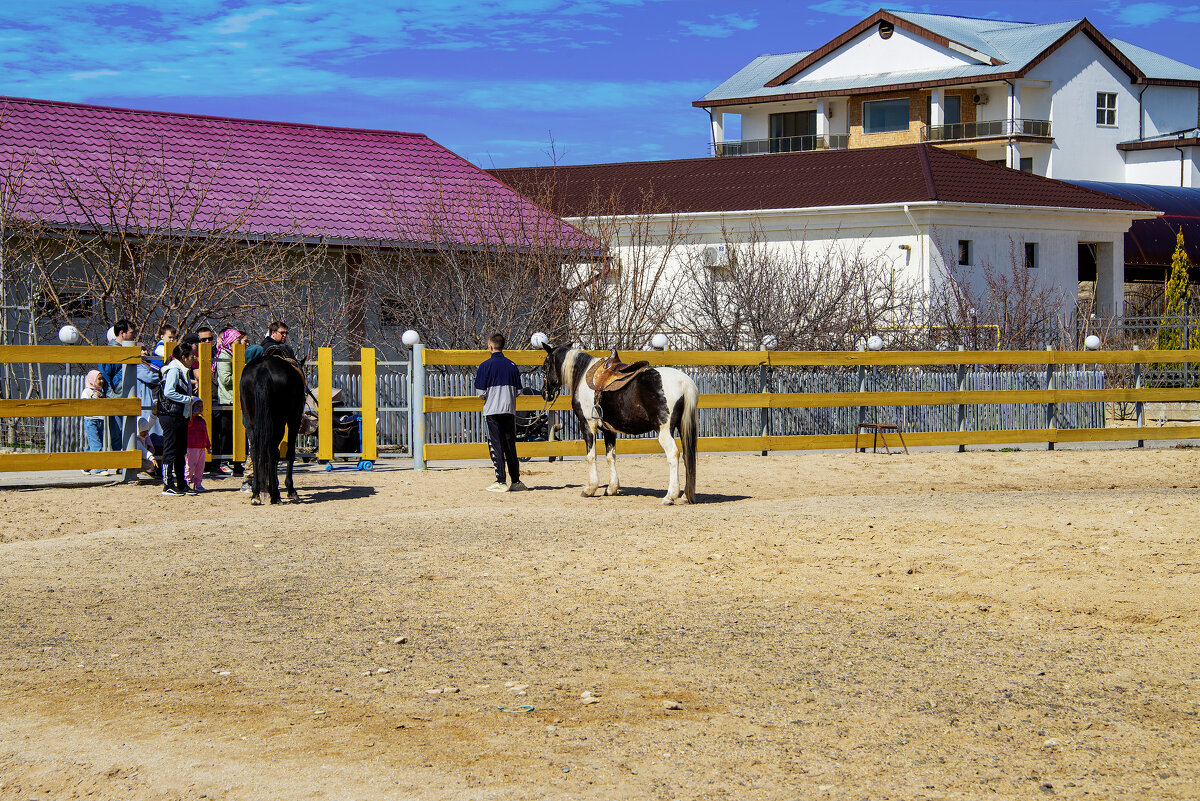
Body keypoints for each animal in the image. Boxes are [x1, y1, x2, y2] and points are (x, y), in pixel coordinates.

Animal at [240, 352, 307, 503]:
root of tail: (262, 369)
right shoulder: (294, 420)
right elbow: (289, 453)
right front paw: (290, 489)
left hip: (251, 423)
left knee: (255, 451)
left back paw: (256, 494)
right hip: (279, 421)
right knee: (271, 450)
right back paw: (275, 495)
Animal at [542, 342, 700, 503]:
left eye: (544, 368)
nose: (545, 393)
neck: (583, 375)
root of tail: (684, 382)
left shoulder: (587, 425)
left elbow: (591, 456)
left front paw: (590, 489)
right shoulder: (609, 430)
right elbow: (610, 457)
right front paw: (611, 488)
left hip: (664, 432)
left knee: (673, 455)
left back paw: (670, 496)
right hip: (682, 428)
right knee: (687, 456)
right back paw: (685, 496)